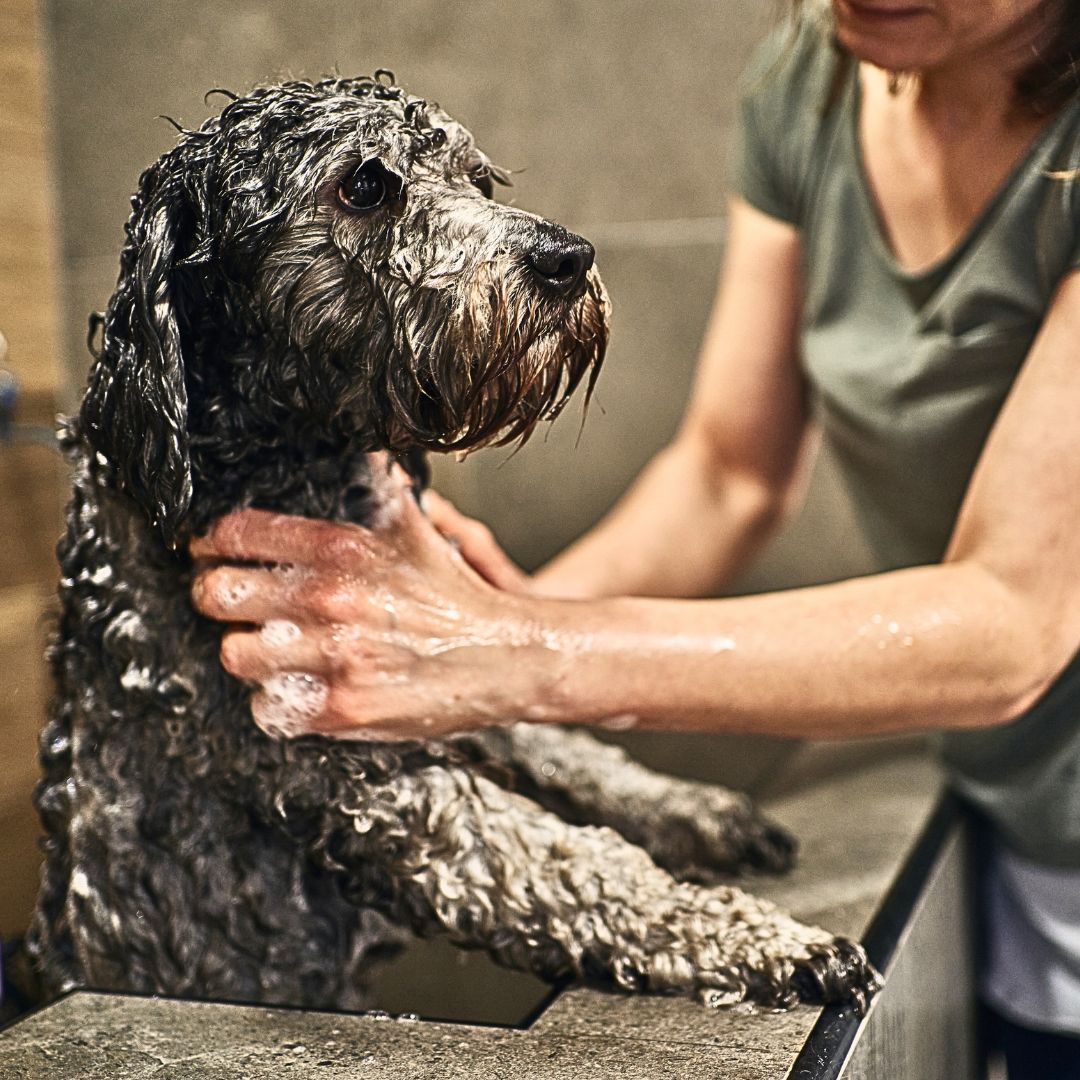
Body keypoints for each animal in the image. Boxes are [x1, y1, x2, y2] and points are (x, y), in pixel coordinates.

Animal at [29, 71, 881, 1015]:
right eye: (366, 185)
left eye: (477, 177)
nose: (567, 256)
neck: (271, 470)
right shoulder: (371, 785)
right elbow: (577, 870)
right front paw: (765, 940)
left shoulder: (432, 671)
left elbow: (562, 741)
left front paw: (697, 809)